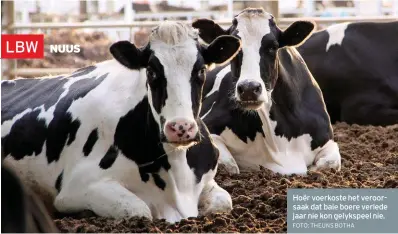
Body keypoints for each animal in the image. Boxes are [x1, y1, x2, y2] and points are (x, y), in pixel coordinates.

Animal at [1, 22, 241, 223]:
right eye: (151, 71)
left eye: (201, 70)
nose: (181, 127)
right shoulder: (76, 188)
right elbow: (139, 210)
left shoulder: (207, 179)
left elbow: (224, 202)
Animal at [191, 7, 340, 176]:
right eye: (236, 48)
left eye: (272, 47)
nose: (249, 88)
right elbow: (229, 166)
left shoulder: (327, 139)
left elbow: (329, 163)